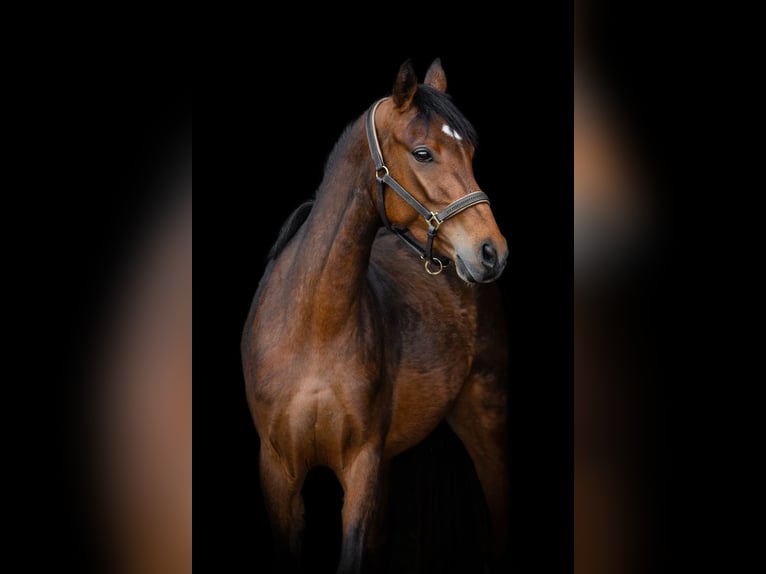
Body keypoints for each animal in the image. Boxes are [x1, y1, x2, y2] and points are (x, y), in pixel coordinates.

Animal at [241, 59, 510, 573]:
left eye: (470, 151)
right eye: (423, 153)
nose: (492, 252)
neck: (314, 330)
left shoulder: (361, 464)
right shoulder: (277, 472)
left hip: (484, 417)